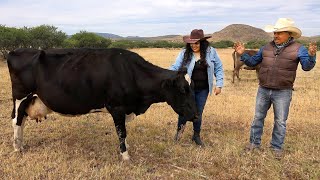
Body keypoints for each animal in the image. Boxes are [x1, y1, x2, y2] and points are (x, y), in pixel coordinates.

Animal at [6, 47, 198, 160]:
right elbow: (121, 132)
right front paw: (125, 156)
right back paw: (17, 148)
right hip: (21, 96)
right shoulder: (117, 107)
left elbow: (124, 133)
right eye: (183, 90)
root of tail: (15, 51)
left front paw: (126, 149)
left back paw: (20, 145)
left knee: (21, 121)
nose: (196, 115)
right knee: (16, 121)